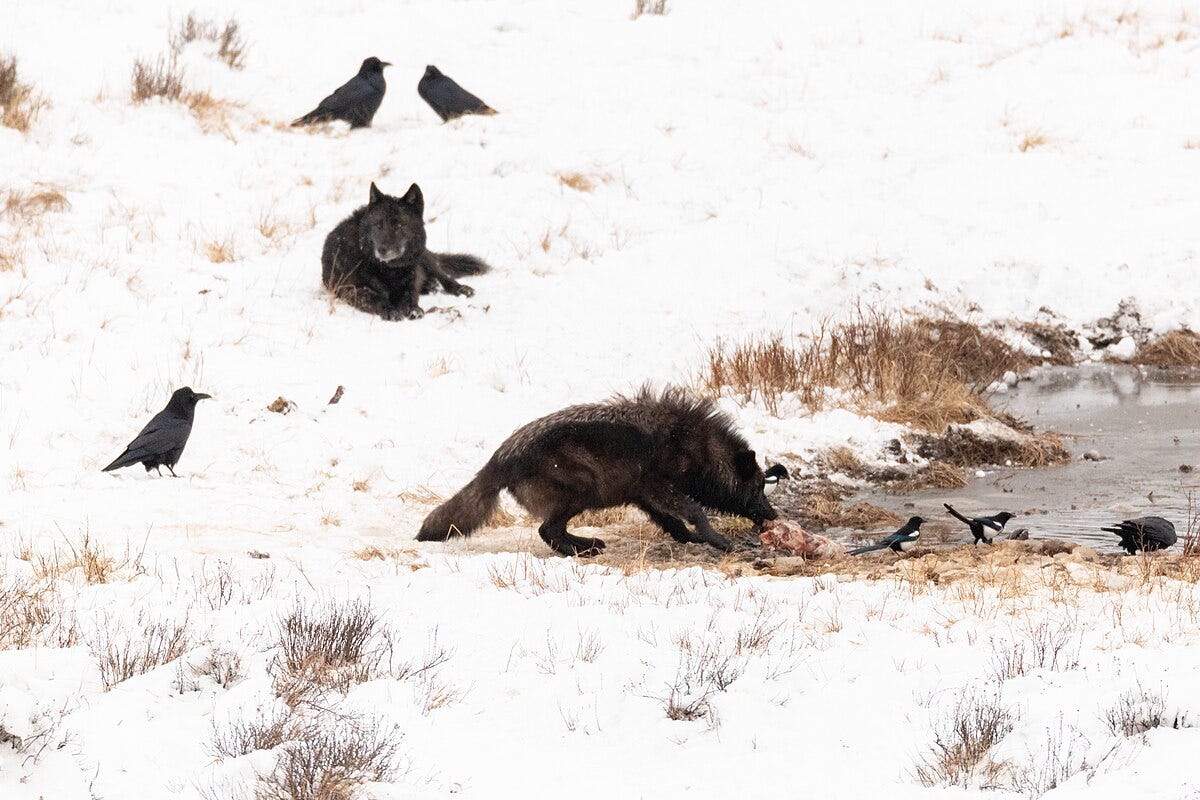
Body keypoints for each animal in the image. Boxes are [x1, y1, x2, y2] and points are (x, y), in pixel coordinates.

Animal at [321, 182, 489, 320]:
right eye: (378, 225)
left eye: (400, 225)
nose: (382, 250)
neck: (388, 269)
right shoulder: (351, 290)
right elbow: (376, 298)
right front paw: (390, 311)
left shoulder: (411, 283)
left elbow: (409, 297)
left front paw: (413, 310)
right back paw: (431, 286)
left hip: (424, 257)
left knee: (444, 276)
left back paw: (459, 288)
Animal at [417, 387, 789, 557]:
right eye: (758, 487)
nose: (773, 516)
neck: (698, 448)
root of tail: (498, 459)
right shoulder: (659, 488)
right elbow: (695, 512)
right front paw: (718, 541)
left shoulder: (645, 497)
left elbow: (674, 524)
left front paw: (694, 539)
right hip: (582, 490)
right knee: (547, 530)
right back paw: (583, 548)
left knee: (551, 530)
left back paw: (587, 545)